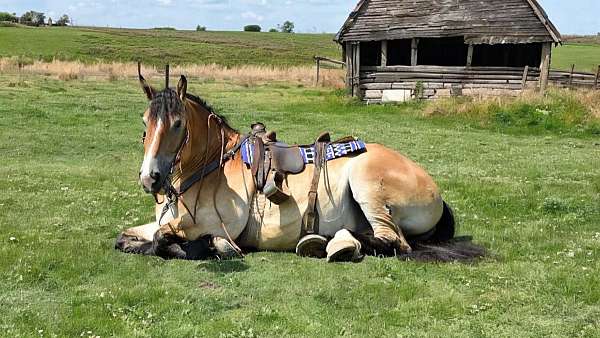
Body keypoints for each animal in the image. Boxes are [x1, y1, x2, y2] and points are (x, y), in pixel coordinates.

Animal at [116, 65, 482, 262]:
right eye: (145, 122)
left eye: (178, 124)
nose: (150, 178)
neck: (211, 168)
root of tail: (434, 188)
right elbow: (124, 238)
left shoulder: (214, 225)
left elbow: (163, 238)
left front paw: (209, 246)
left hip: (368, 187)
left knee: (393, 242)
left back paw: (333, 242)